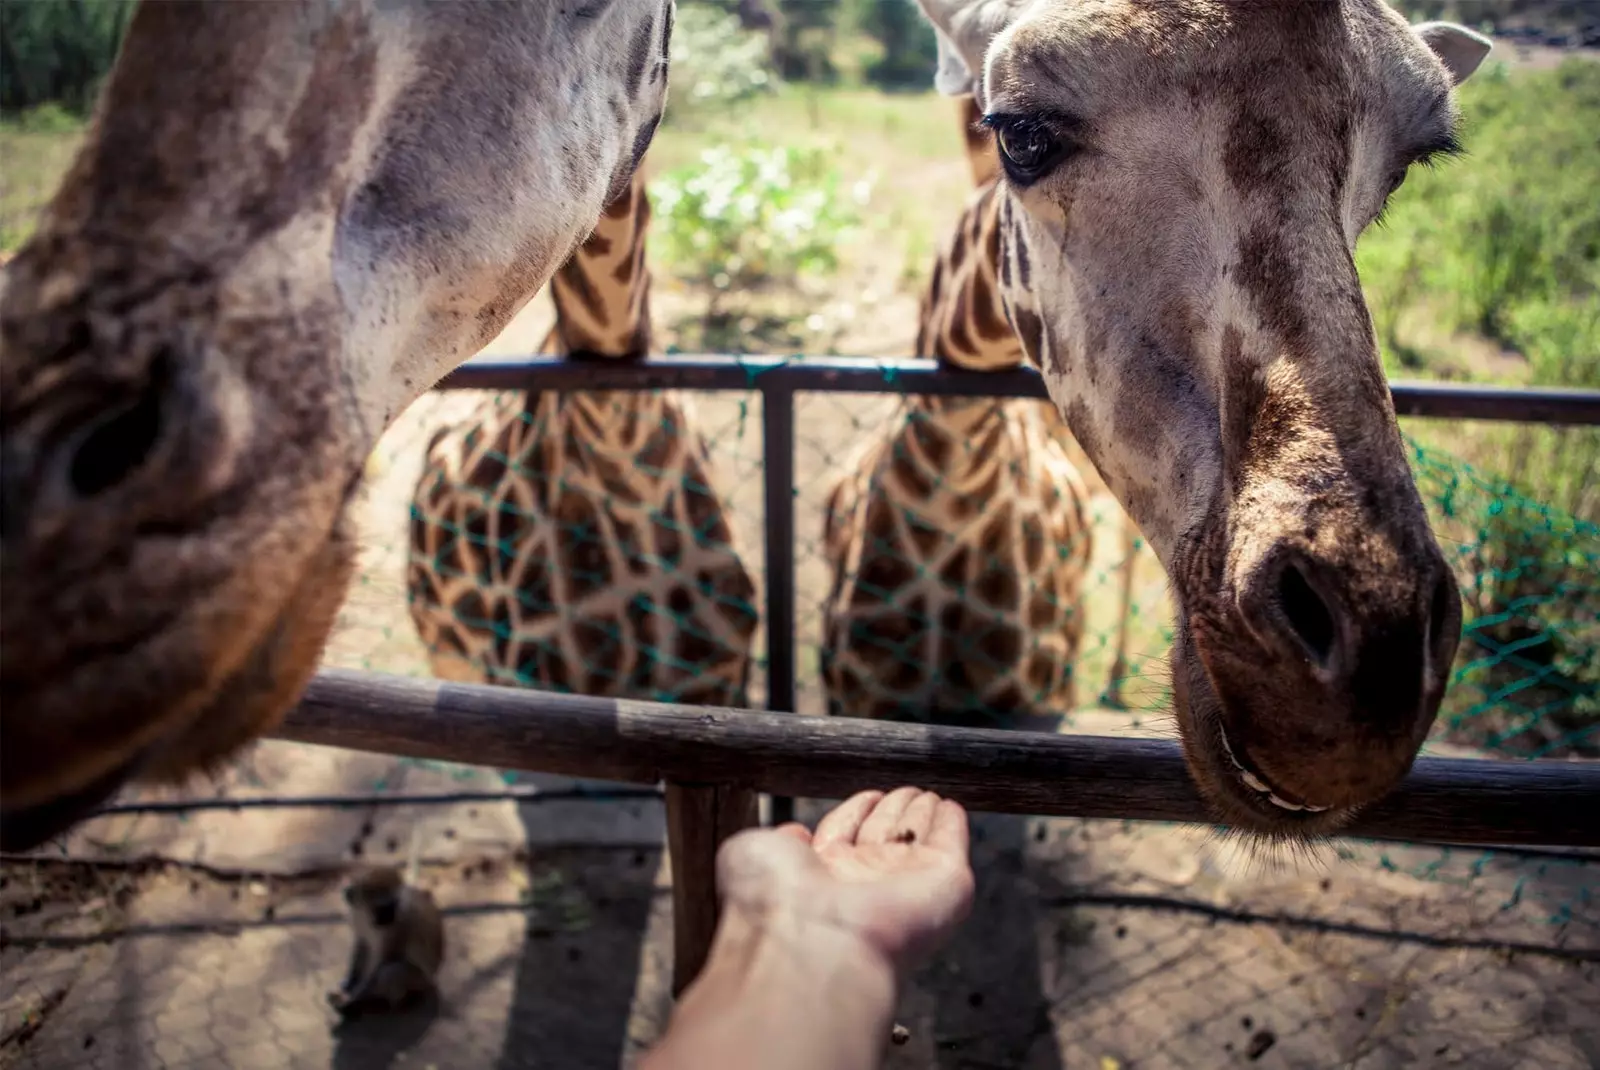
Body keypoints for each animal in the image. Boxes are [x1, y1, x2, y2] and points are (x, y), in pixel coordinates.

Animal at [328, 831, 444, 1017]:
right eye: (382, 908)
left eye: (393, 906)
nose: (390, 918)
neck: (365, 916)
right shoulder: (355, 916)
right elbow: (362, 944)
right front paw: (350, 981)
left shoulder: (399, 925)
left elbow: (381, 964)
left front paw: (353, 1000)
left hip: (419, 981)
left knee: (391, 971)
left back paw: (388, 1002)